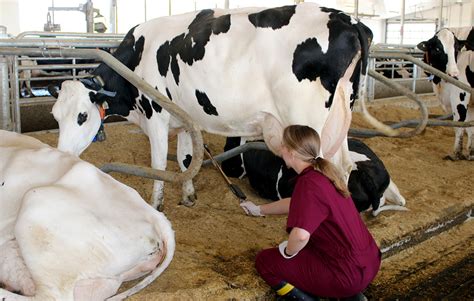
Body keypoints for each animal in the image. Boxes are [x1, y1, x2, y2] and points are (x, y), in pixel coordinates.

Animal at [416, 27, 472, 161]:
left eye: (456, 49)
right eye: (437, 49)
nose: (454, 74)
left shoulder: (460, 97)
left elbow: (459, 124)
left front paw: (456, 154)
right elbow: (470, 127)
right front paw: (470, 153)